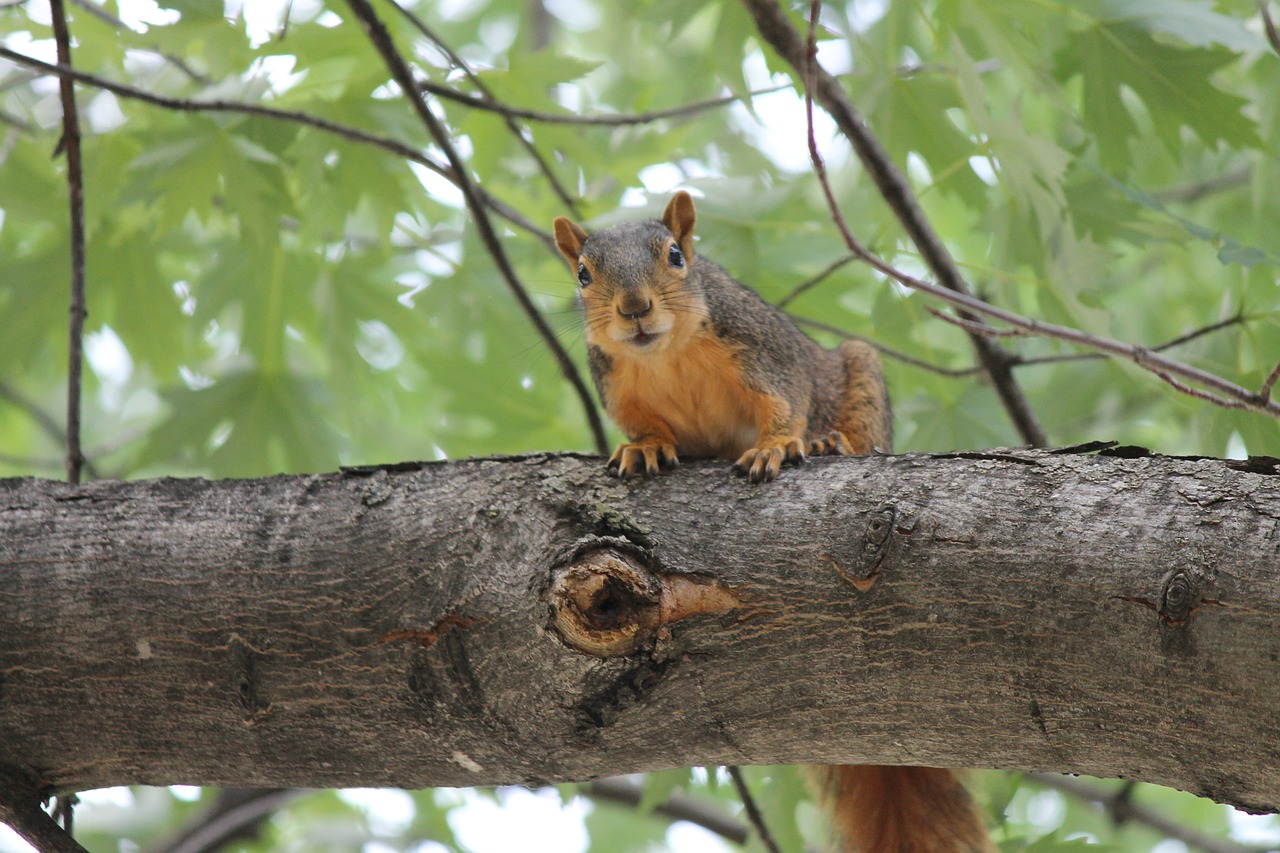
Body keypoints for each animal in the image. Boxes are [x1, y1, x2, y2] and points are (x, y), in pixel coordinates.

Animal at [550, 189, 988, 845]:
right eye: (583, 275)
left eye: (676, 255)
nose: (633, 308)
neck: (667, 355)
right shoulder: (619, 388)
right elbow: (645, 428)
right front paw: (643, 449)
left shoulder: (762, 350)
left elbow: (785, 402)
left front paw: (777, 446)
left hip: (859, 375)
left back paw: (832, 443)